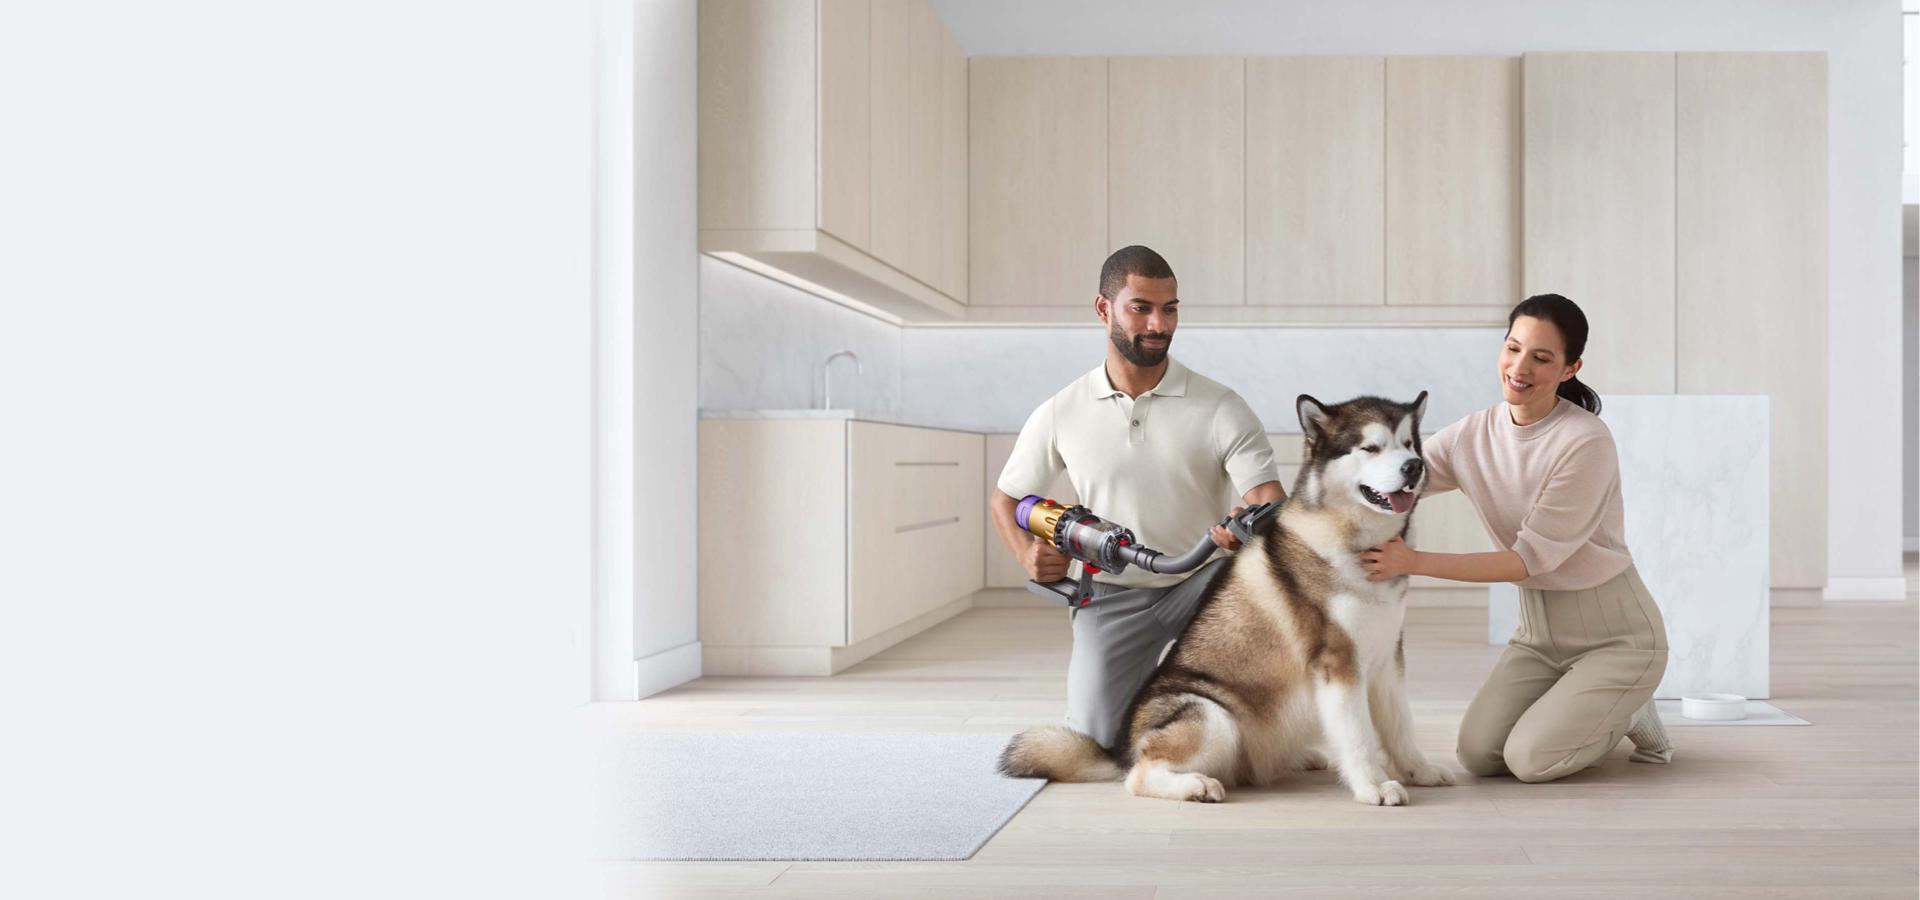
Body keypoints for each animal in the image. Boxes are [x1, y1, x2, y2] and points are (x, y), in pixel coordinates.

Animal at [1006, 389, 1451, 802]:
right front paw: (1373, 786)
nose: (1414, 467)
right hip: (1213, 714)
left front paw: (1420, 771)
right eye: (1370, 447)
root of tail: (1122, 749)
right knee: (1139, 776)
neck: (1354, 545)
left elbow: (1400, 726)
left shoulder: (1387, 656)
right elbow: (1358, 736)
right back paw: (1195, 785)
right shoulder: (1338, 663)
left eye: (1408, 444)